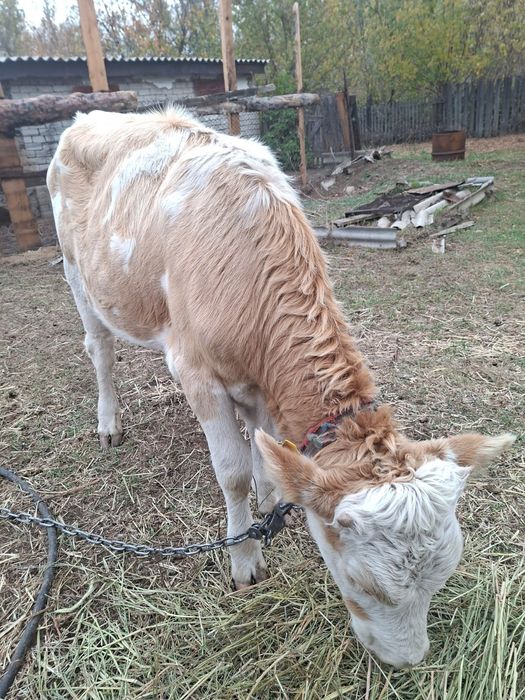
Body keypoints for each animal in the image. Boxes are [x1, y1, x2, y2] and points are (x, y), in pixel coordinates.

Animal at [47, 108, 514, 668]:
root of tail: (87, 116)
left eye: (444, 572)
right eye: (362, 583)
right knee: (100, 349)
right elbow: (231, 474)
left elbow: (265, 441)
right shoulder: (196, 371)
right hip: (78, 273)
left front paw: (271, 495)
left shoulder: (260, 380)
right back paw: (109, 424)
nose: (408, 660)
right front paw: (245, 556)